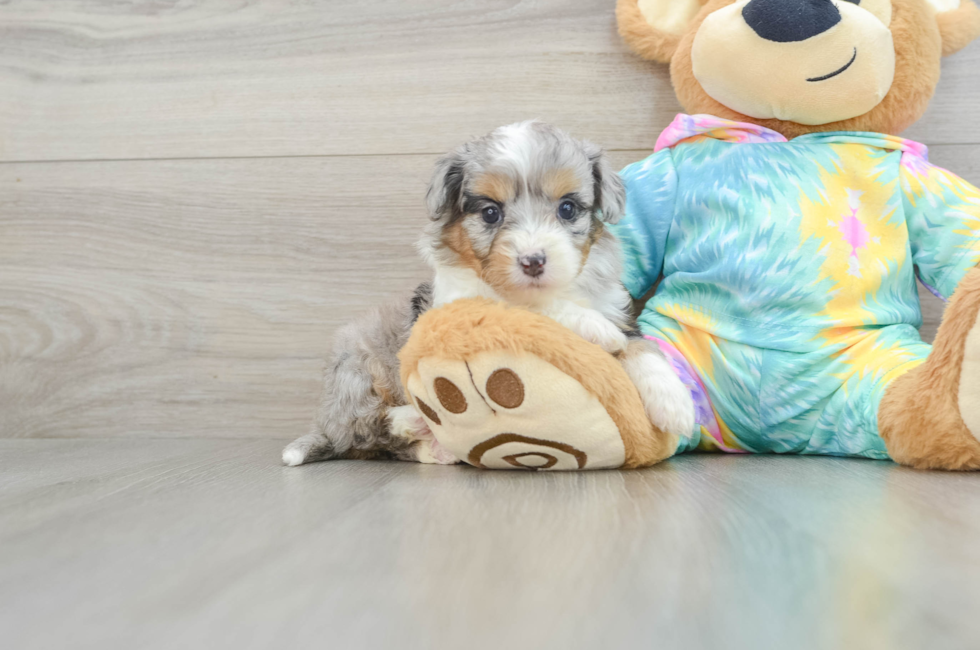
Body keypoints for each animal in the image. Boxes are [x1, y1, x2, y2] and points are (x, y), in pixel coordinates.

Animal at [282, 121, 696, 466]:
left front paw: (673, 402)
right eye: (491, 213)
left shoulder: (615, 307)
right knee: (368, 434)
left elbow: (640, 346)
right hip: (358, 371)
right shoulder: (461, 304)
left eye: (567, 208)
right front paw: (592, 327)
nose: (533, 261)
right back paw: (413, 424)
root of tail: (327, 422)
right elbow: (527, 309)